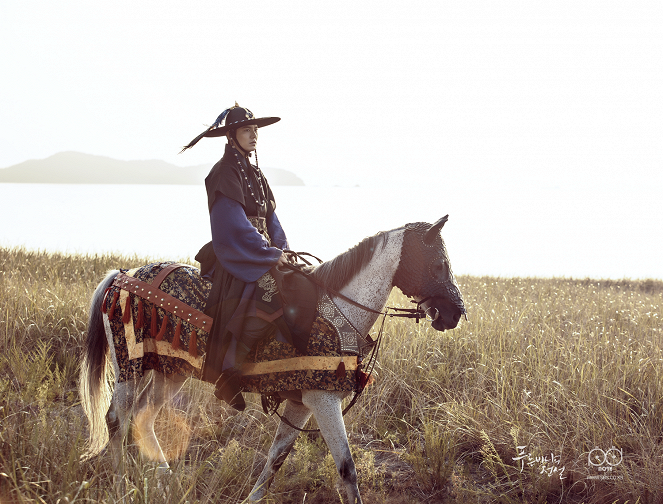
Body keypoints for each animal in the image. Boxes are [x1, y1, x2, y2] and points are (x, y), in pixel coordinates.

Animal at [80, 217, 464, 504]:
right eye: (438, 264)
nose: (455, 313)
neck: (338, 311)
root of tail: (122, 275)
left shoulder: (301, 402)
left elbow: (276, 458)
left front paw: (251, 499)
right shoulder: (323, 400)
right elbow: (346, 467)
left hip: (170, 371)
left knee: (143, 417)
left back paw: (164, 478)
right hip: (129, 363)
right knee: (116, 419)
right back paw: (120, 486)